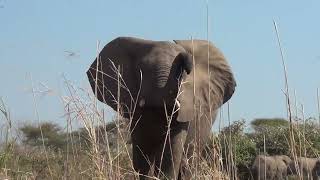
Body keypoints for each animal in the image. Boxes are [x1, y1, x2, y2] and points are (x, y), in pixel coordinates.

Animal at [86, 37, 236, 180]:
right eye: (142, 71)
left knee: (188, 162)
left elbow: (170, 157)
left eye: (183, 73)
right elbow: (142, 156)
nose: (186, 60)